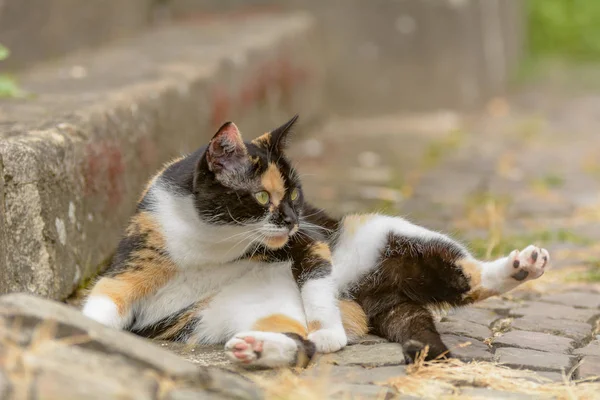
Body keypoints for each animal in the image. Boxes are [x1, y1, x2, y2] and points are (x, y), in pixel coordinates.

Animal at [82, 114, 552, 368]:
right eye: (261, 197)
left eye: (294, 195)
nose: (291, 219)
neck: (212, 238)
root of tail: (369, 304)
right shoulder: (138, 254)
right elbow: (107, 296)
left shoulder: (310, 242)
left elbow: (315, 276)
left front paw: (327, 328)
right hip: (241, 312)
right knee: (299, 344)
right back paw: (260, 348)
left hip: (385, 232)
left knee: (467, 277)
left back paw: (521, 266)